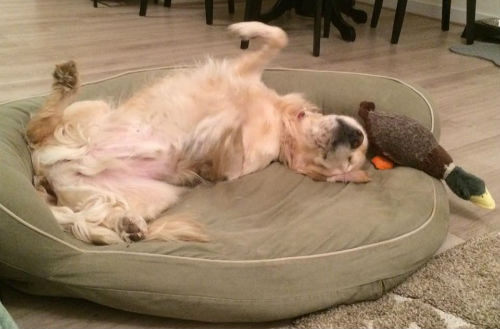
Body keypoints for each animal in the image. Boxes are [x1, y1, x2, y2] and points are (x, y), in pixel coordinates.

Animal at [25, 21, 370, 245]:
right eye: (353, 152)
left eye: (342, 161)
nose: (356, 138)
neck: (279, 124)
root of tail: (46, 176)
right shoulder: (244, 71)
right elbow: (279, 36)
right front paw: (244, 28)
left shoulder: (230, 169)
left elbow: (227, 148)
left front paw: (218, 127)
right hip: (93, 108)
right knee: (39, 126)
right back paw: (66, 81)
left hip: (156, 193)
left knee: (40, 134)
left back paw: (128, 225)